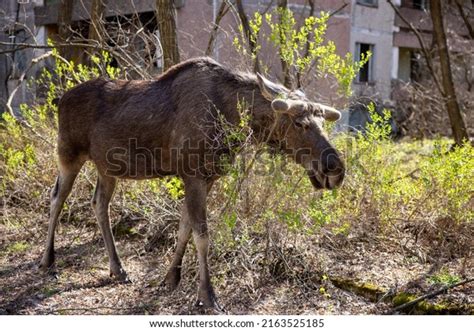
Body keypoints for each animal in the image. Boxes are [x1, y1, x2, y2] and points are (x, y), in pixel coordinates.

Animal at [39, 57, 344, 312]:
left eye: (321, 121)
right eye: (299, 123)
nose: (335, 169)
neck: (232, 119)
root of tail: (60, 99)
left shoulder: (206, 179)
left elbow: (185, 226)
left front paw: (171, 277)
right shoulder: (193, 175)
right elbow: (202, 235)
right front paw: (207, 295)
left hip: (107, 168)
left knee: (99, 204)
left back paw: (118, 268)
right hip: (68, 153)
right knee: (57, 197)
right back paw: (48, 260)